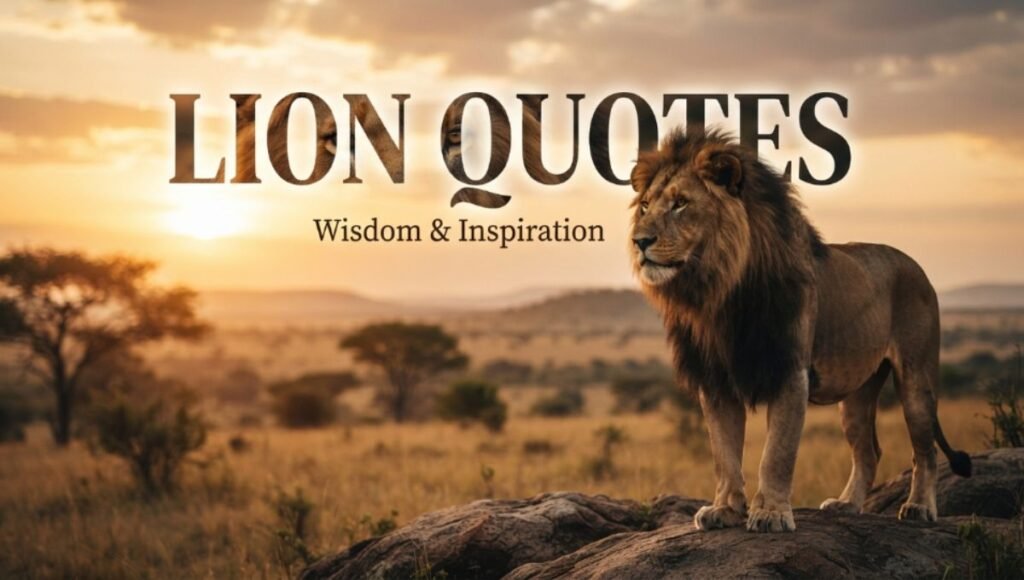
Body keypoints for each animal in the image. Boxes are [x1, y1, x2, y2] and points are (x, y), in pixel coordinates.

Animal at [628, 128, 972, 533]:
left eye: (681, 203)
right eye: (645, 206)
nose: (639, 241)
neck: (719, 291)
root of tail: (916, 266)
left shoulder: (790, 371)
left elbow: (776, 453)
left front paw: (771, 514)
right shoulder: (716, 380)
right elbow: (724, 453)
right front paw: (725, 509)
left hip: (917, 378)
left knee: (925, 449)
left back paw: (919, 507)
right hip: (856, 393)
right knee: (869, 450)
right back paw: (846, 504)